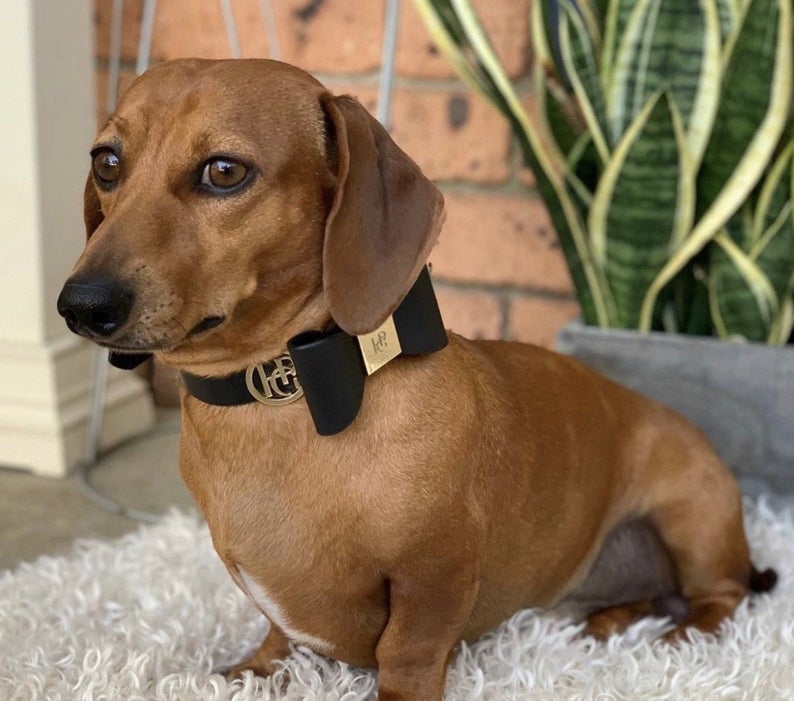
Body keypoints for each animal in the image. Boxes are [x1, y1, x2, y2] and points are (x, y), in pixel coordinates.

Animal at [57, 60, 772, 700]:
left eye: (225, 171)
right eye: (107, 162)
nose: (81, 305)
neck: (286, 398)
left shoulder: (434, 576)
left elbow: (408, 650)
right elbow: (278, 633)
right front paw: (255, 672)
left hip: (694, 520)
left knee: (723, 595)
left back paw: (684, 639)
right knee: (655, 594)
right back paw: (609, 621)